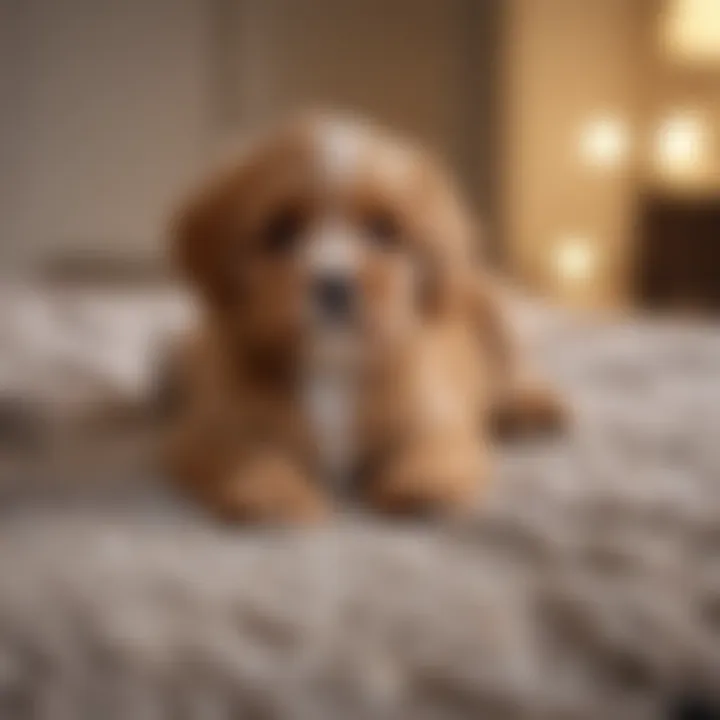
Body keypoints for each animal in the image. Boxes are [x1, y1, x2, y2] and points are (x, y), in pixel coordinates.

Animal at [163, 115, 564, 524]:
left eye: (383, 228)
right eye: (281, 229)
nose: (334, 285)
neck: (332, 366)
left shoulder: (437, 418)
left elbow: (436, 446)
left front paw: (422, 484)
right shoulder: (211, 431)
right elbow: (244, 455)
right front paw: (272, 492)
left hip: (493, 314)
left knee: (511, 374)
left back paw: (532, 406)